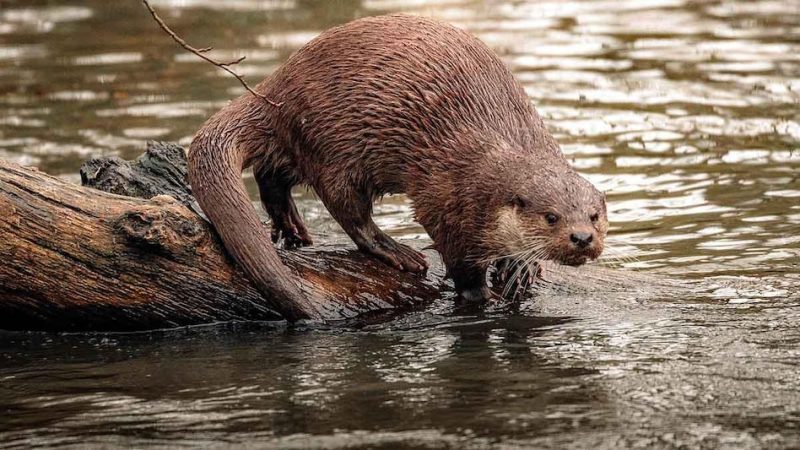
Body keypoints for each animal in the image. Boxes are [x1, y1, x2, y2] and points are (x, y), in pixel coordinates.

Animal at [188, 14, 608, 321]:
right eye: (551, 217)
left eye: (594, 216)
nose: (582, 237)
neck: (495, 153)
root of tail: (275, 89)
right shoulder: (444, 198)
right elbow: (458, 260)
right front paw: (479, 294)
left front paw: (521, 268)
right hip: (334, 145)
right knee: (348, 212)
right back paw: (396, 252)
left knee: (272, 173)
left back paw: (291, 227)